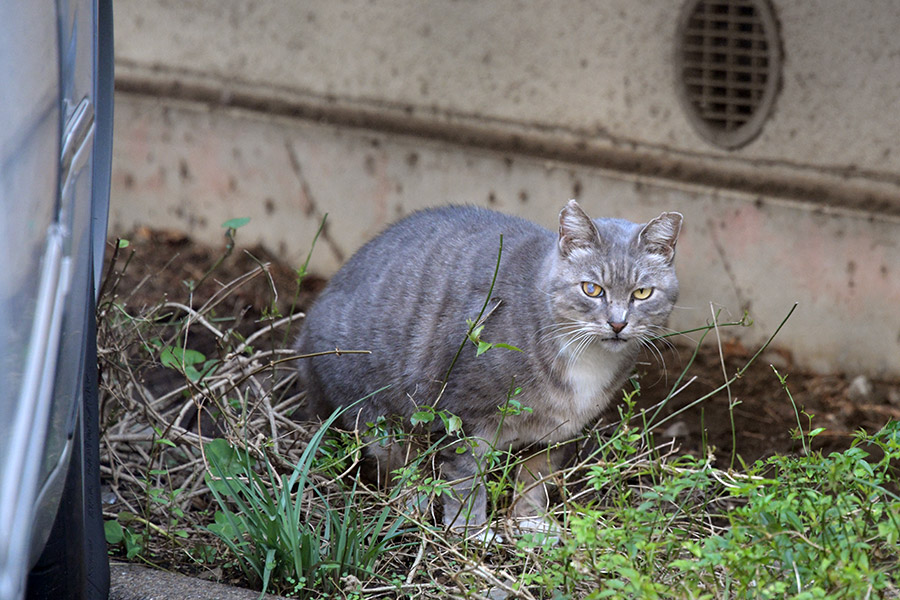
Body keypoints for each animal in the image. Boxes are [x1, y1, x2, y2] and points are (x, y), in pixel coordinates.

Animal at [296, 199, 684, 536]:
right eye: (591, 289)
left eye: (642, 293)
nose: (617, 324)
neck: (588, 360)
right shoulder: (465, 418)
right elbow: (466, 480)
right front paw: (471, 532)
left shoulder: (553, 434)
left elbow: (535, 481)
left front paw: (531, 527)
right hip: (377, 418)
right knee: (400, 470)